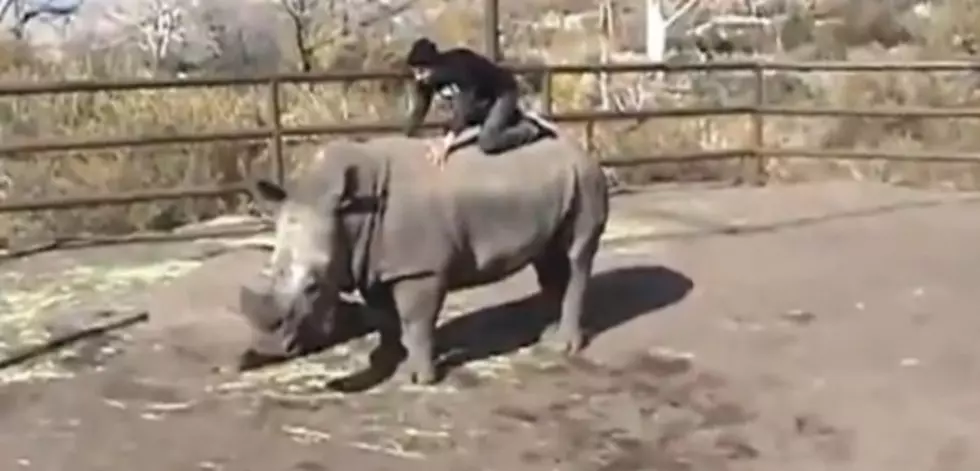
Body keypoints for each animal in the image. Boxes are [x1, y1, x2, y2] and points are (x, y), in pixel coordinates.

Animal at [239, 131, 604, 386]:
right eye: (272, 271)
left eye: (314, 287)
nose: (269, 350)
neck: (349, 212)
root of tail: (584, 149)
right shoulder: (376, 264)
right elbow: (386, 316)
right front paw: (390, 359)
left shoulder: (420, 270)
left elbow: (415, 319)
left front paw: (417, 378)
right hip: (558, 183)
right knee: (549, 260)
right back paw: (549, 336)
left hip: (586, 179)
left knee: (576, 255)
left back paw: (566, 346)